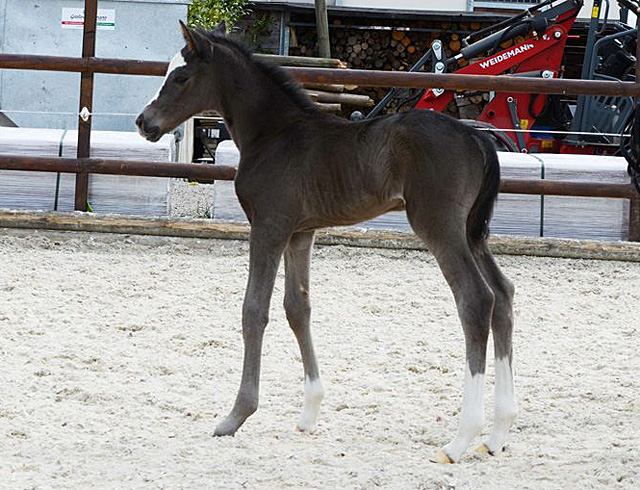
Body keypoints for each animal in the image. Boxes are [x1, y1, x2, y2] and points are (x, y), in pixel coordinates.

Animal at [138, 21, 516, 464]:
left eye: (180, 78)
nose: (143, 122)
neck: (274, 135)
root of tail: (477, 139)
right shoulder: (300, 233)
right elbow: (296, 308)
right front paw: (309, 413)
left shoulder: (268, 227)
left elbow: (254, 311)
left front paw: (236, 416)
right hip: (472, 232)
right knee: (503, 294)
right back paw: (497, 434)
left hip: (440, 227)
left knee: (475, 299)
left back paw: (459, 441)